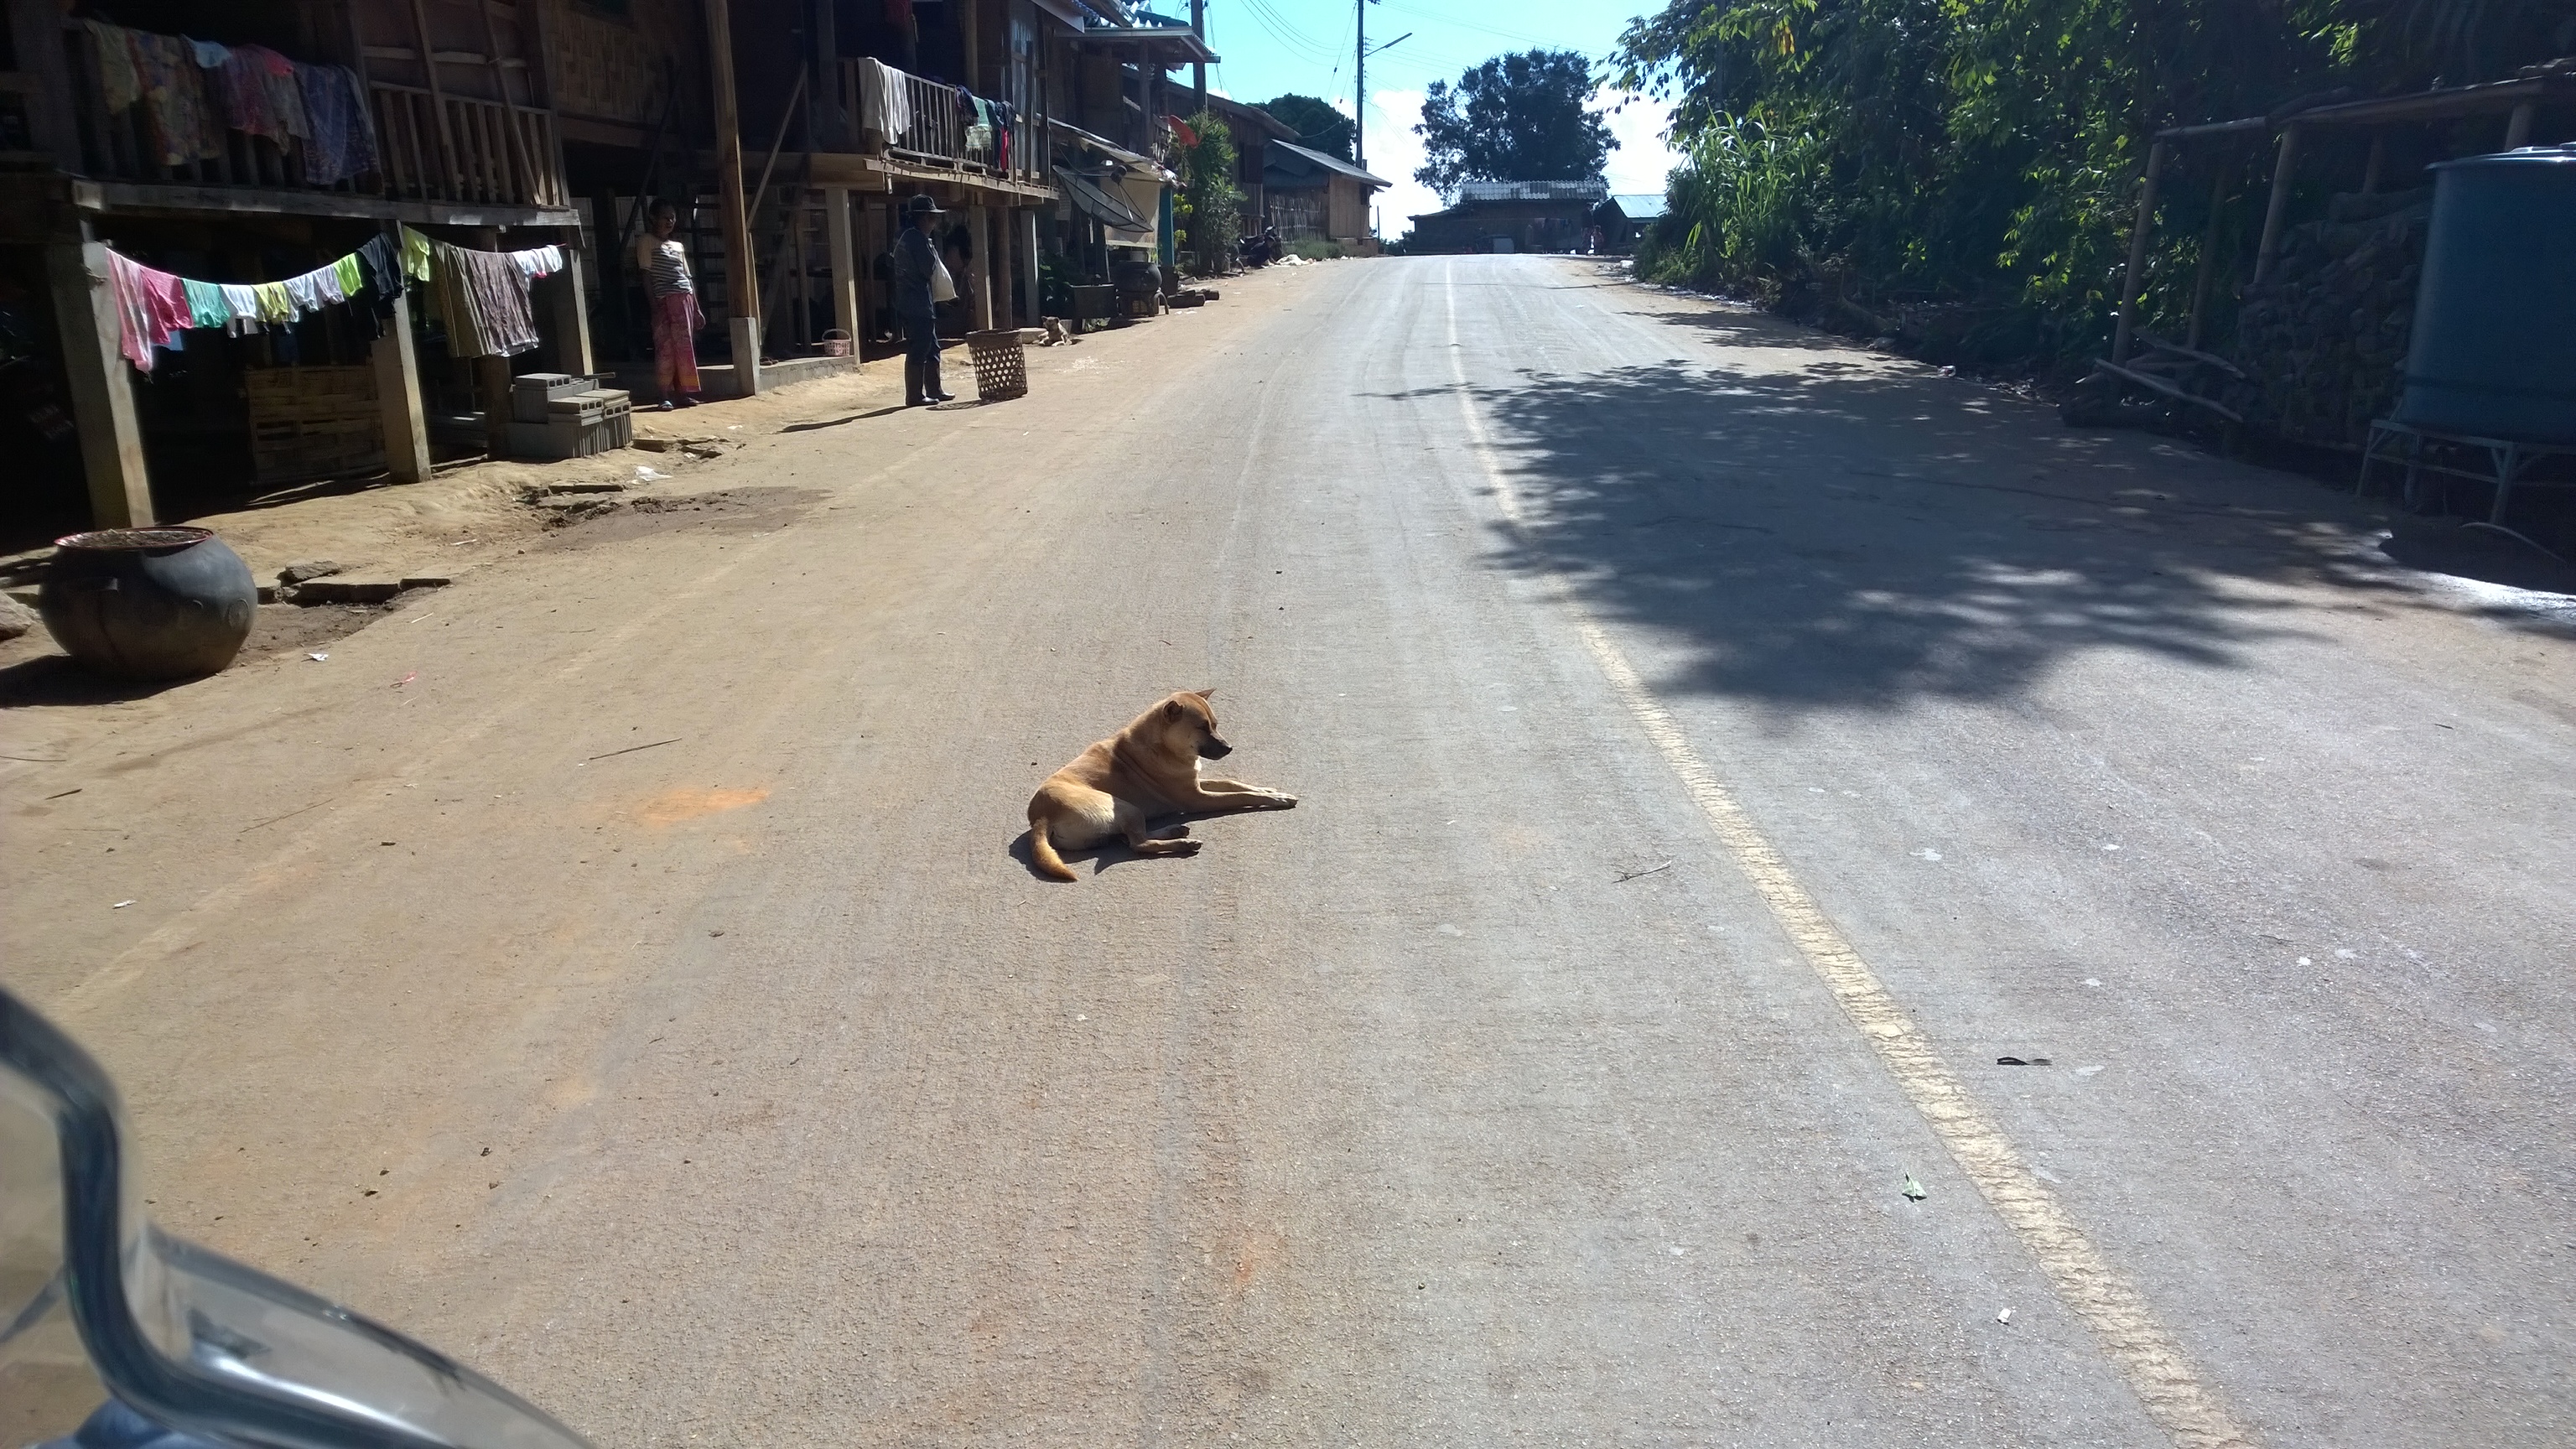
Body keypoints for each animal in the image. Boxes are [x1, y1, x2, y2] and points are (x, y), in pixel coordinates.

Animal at [1025, 685, 1298, 881]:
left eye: (1215, 725)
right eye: (1202, 727)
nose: (1229, 748)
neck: (1163, 745)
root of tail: (1041, 816)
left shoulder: (1196, 782)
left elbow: (1234, 784)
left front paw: (1269, 790)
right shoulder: (1198, 799)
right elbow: (1241, 796)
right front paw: (1276, 799)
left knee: (1131, 838)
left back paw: (1174, 831)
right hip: (1125, 807)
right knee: (1138, 844)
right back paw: (1182, 844)